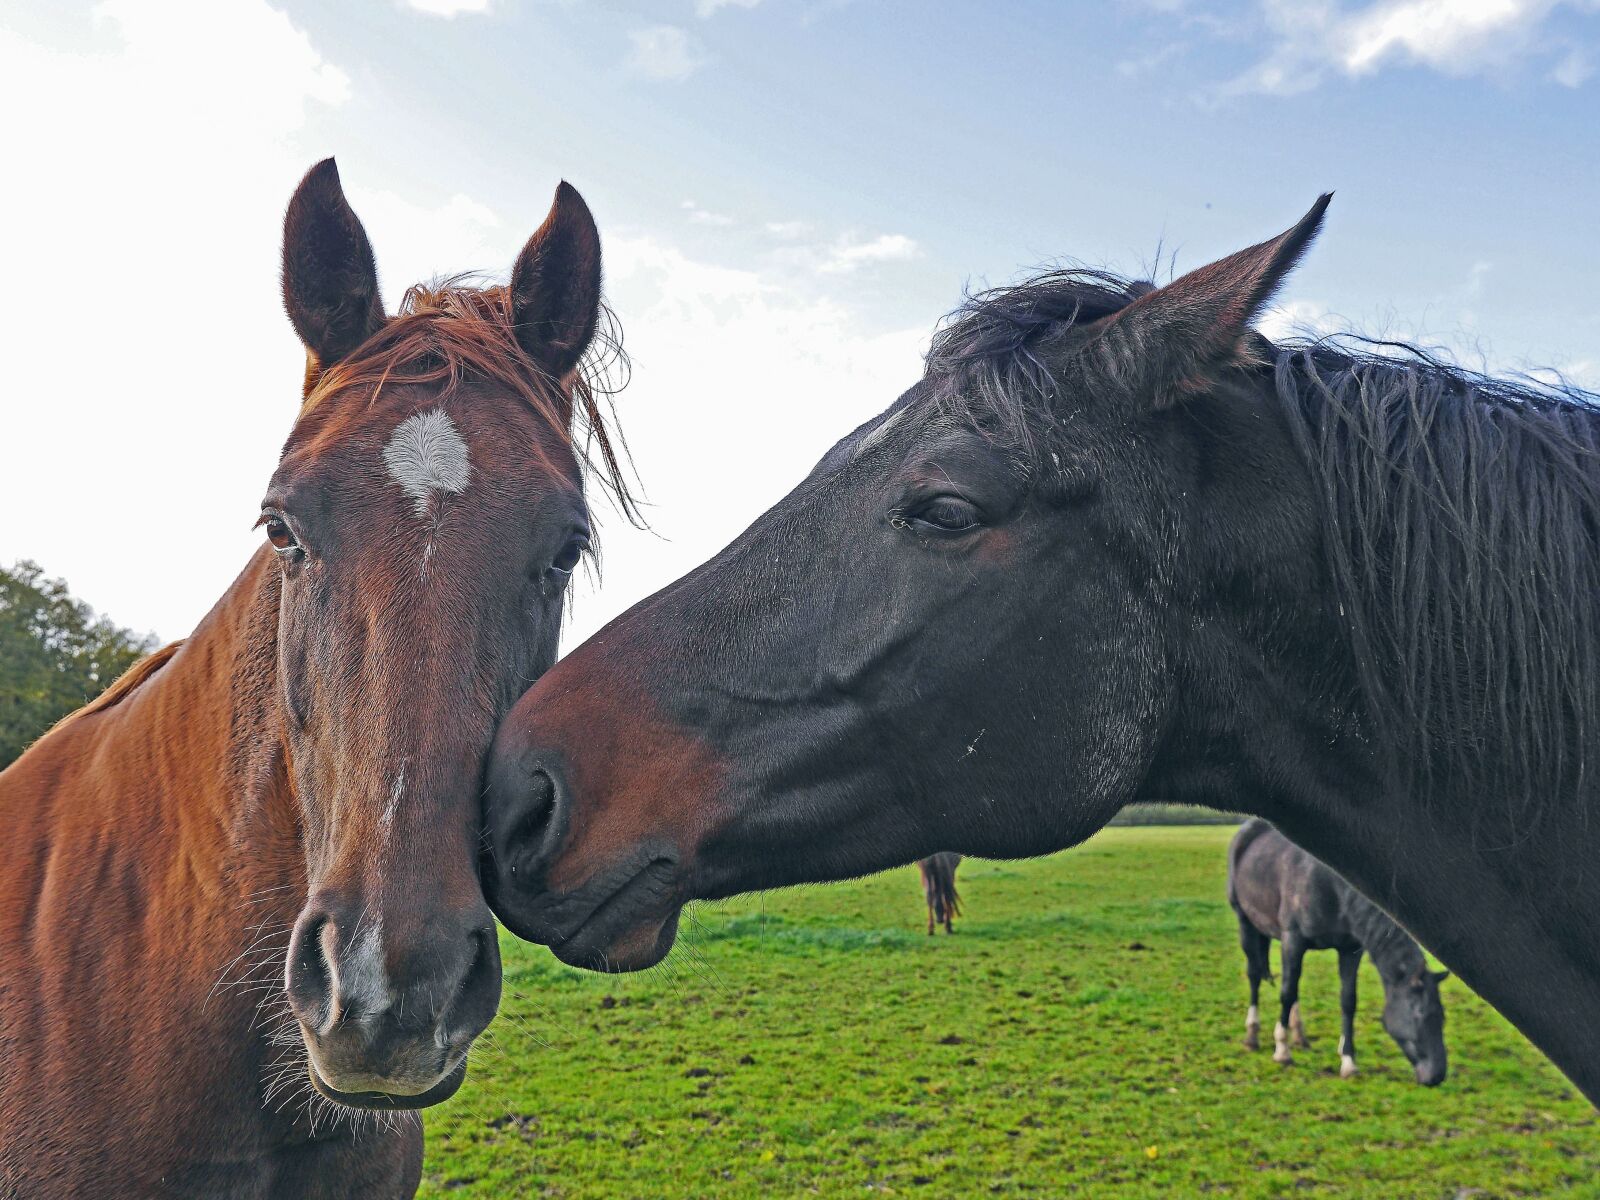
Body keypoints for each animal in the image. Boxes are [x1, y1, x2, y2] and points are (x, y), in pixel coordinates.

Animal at [1229, 819, 1447, 1085]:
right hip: (1245, 922)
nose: (1437, 1074)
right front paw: (1281, 1050)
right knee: (1254, 975)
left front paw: (1348, 1061)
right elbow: (1286, 993)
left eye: (1441, 1015)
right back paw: (1252, 1035)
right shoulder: (1293, 940)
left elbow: (1347, 1001)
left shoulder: (1349, 950)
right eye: (1418, 1014)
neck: (1330, 885)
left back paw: (1299, 1036)